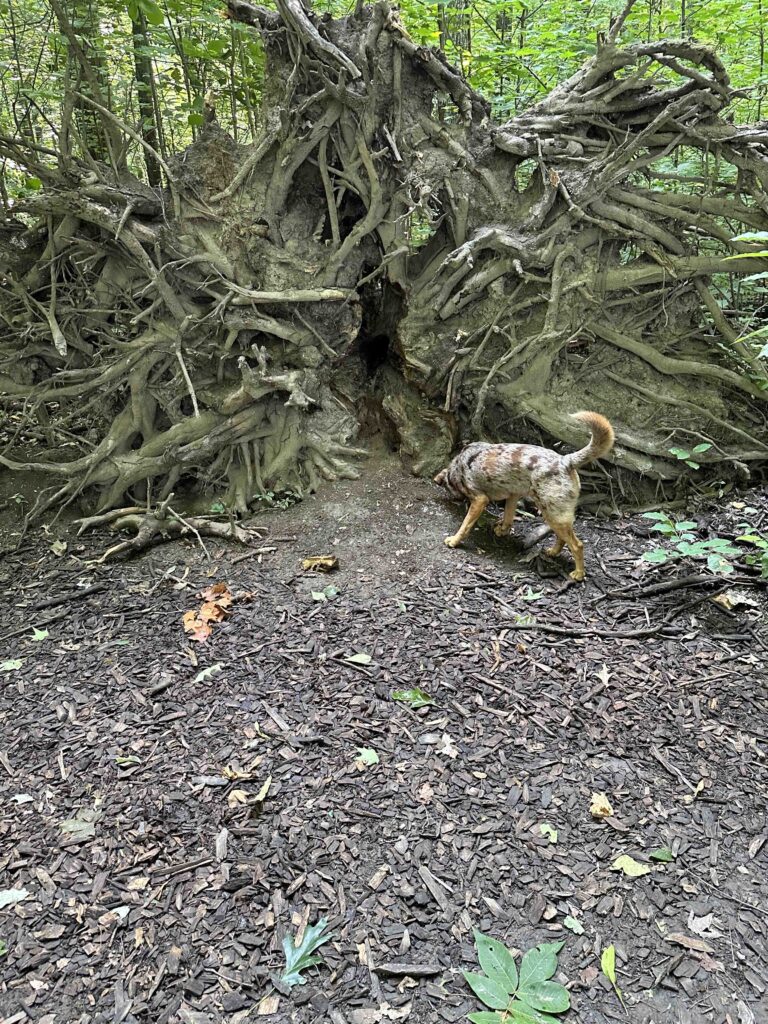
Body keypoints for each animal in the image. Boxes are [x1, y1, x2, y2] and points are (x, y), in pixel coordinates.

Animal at [436, 409, 618, 585]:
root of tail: (565, 460)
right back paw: (553, 552)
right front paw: (502, 530)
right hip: (553, 515)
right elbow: (508, 517)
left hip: (552, 515)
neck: (458, 465)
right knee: (563, 538)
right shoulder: (513, 495)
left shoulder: (480, 500)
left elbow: (465, 525)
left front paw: (454, 540)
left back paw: (579, 573)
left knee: (577, 545)